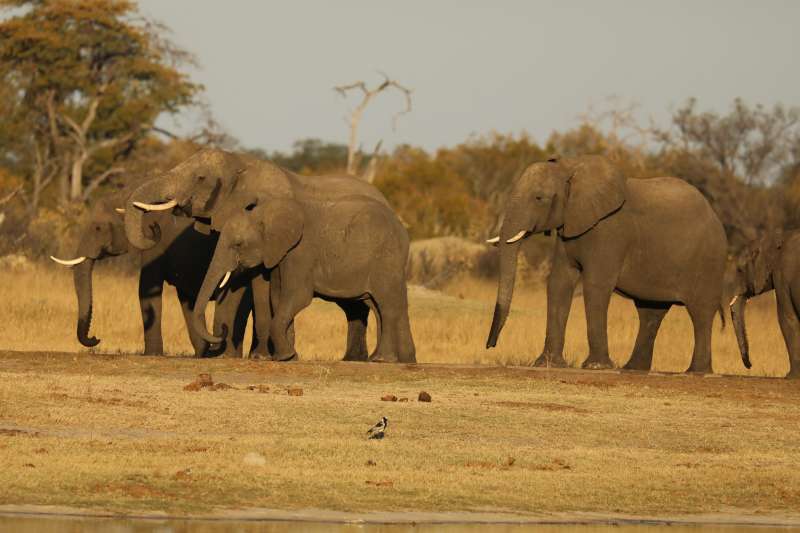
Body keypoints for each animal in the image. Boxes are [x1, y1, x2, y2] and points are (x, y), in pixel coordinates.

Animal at [50, 188, 265, 357]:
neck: (129, 194)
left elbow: (146, 289)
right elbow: (186, 300)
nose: (96, 338)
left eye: (97, 228)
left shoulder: (154, 242)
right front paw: (202, 354)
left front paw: (152, 354)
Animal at [189, 194, 416, 363]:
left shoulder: (300, 252)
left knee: (386, 306)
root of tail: (403, 230)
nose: (222, 331)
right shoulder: (280, 255)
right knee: (378, 305)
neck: (264, 213)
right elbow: (277, 298)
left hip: (386, 259)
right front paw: (289, 357)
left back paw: (381, 359)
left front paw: (285, 357)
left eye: (237, 245)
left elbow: (297, 297)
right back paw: (394, 359)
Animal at [485, 155, 728, 373]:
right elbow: (559, 282)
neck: (570, 167)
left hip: (710, 261)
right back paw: (633, 369)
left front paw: (596, 367)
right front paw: (547, 364)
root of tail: (715, 217)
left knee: (701, 313)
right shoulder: (568, 230)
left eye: (539, 198)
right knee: (650, 312)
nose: (490, 345)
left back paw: (697, 371)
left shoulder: (610, 232)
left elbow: (596, 285)